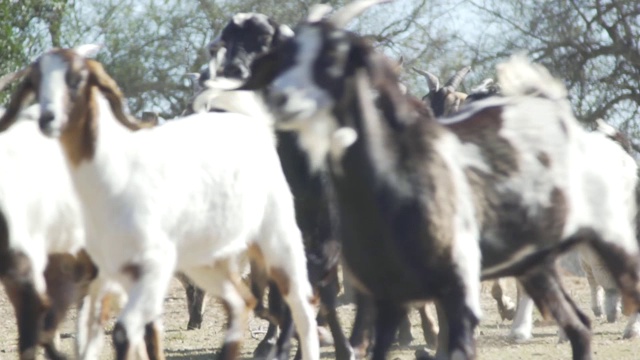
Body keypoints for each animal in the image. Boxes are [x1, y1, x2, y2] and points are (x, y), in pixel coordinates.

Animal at [0, 43, 320, 358]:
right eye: (34, 82)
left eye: (78, 79)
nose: (47, 119)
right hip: (208, 259)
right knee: (242, 302)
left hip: (277, 236)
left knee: (298, 302)